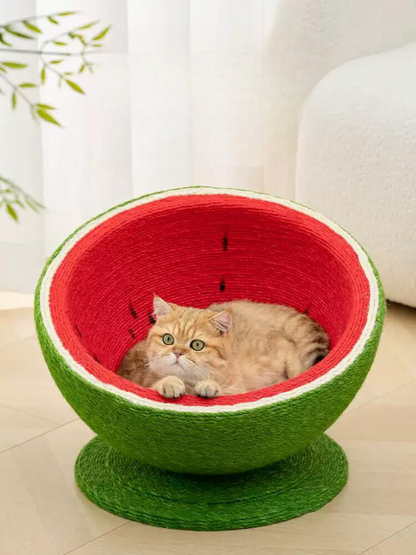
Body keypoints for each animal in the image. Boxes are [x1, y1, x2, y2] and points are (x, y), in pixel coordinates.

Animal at [117, 296, 328, 400]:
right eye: (168, 339)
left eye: (197, 344)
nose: (177, 353)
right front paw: (169, 383)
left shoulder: (237, 391)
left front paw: (209, 386)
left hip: (282, 351)